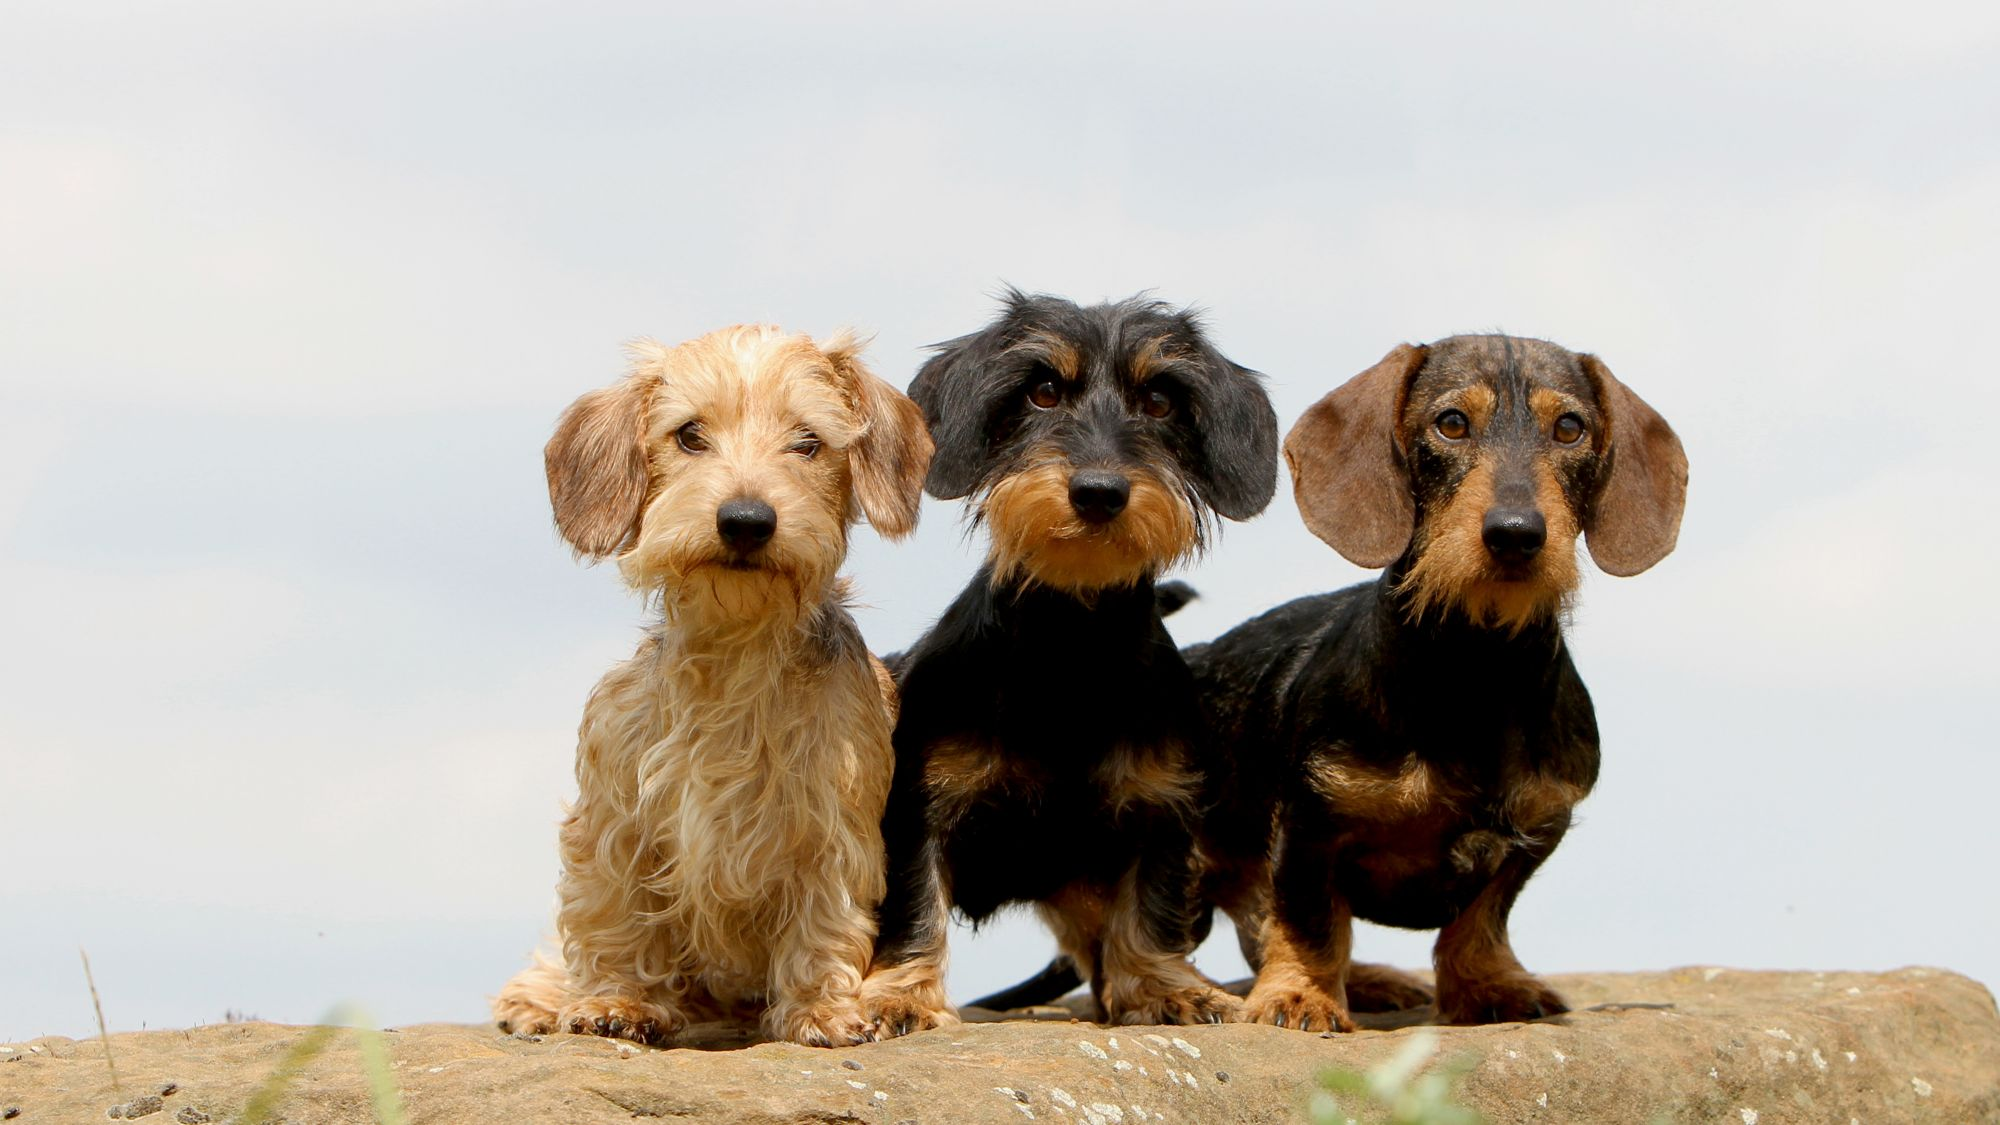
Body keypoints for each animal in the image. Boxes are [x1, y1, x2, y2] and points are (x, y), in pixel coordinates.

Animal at [500, 322, 936, 1040]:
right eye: (688, 435)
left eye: (808, 441)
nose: (746, 520)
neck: (737, 646)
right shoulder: (613, 815)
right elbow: (611, 912)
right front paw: (617, 999)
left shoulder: (836, 827)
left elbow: (825, 919)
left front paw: (821, 1007)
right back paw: (539, 996)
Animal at [864, 288, 1280, 1024]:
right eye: (1044, 391)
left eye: (1160, 401)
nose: (1098, 491)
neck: (1071, 646)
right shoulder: (918, 807)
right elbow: (916, 902)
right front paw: (903, 994)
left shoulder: (1162, 805)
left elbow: (1150, 907)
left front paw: (1164, 986)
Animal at [1192, 332, 1680, 1024]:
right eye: (1451, 423)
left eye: (1569, 428)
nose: (1515, 535)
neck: (1475, 669)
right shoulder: (1311, 825)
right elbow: (1310, 919)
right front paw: (1300, 995)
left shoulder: (1539, 827)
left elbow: (1482, 916)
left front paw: (1488, 985)